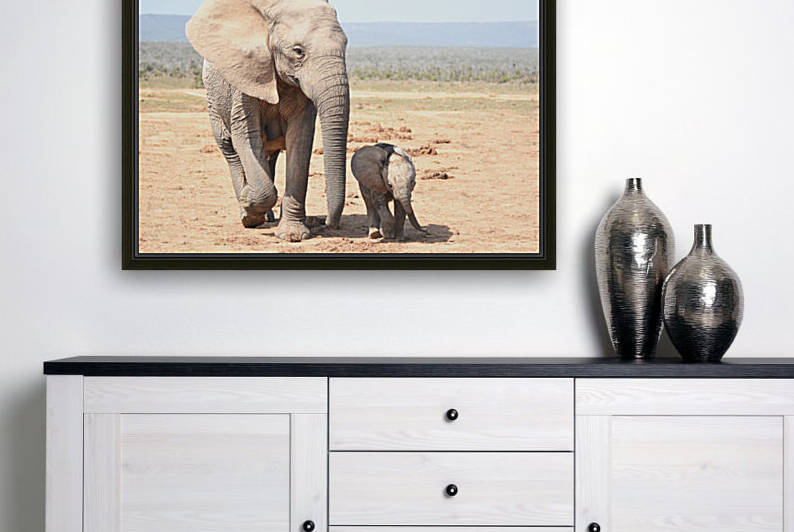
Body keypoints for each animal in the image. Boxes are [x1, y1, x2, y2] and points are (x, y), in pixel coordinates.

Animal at [186, 0, 350, 242]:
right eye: (298, 52)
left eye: (345, 46)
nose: (327, 223)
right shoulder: (244, 79)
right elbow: (246, 134)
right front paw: (249, 207)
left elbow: (300, 139)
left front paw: (292, 235)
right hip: (213, 102)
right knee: (231, 150)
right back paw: (247, 211)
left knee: (268, 156)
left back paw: (269, 217)